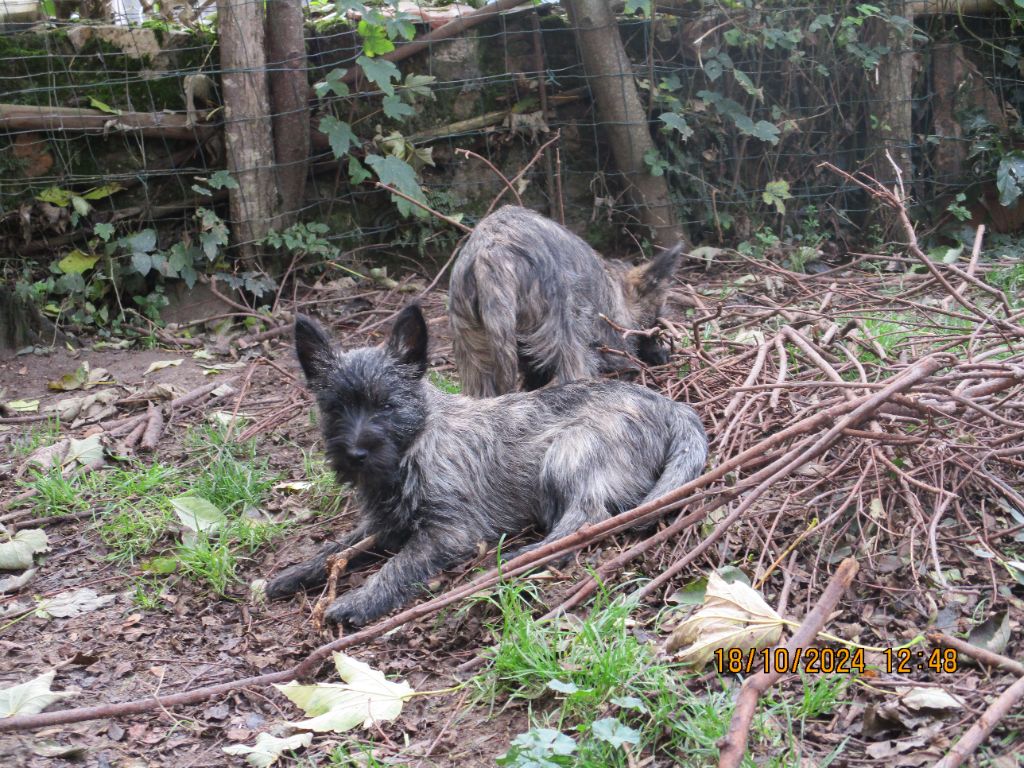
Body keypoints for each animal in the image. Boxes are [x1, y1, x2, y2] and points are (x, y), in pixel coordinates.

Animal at [268, 303, 708, 626]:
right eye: (335, 409)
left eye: (386, 406)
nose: (356, 455)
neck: (418, 444)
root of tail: (669, 404)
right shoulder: (382, 525)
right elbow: (336, 548)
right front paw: (294, 573)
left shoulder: (449, 533)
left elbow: (398, 565)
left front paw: (359, 600)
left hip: (568, 452)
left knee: (587, 516)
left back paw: (525, 556)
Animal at [450, 204, 684, 397]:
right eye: (654, 326)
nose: (665, 356)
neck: (615, 288)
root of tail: (492, 253)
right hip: (568, 343)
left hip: (475, 362)